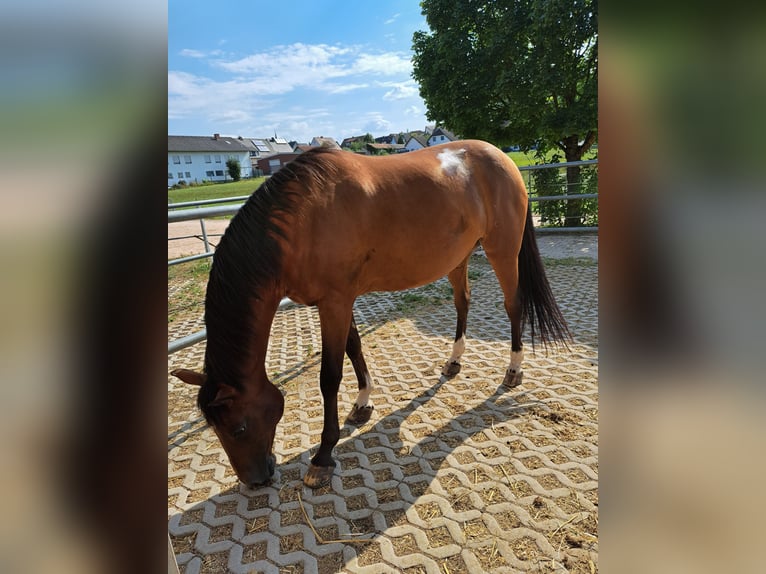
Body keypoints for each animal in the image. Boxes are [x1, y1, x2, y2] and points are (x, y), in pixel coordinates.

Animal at [172, 142, 568, 488]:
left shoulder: (335, 302)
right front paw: (363, 404)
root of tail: (504, 159)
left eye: (238, 427)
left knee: (513, 305)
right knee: (463, 302)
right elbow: (355, 347)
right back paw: (454, 362)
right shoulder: (337, 300)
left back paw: (514, 370)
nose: (255, 480)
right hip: (459, 257)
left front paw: (323, 456)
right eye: (217, 428)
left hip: (503, 250)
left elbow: (329, 377)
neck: (301, 219)